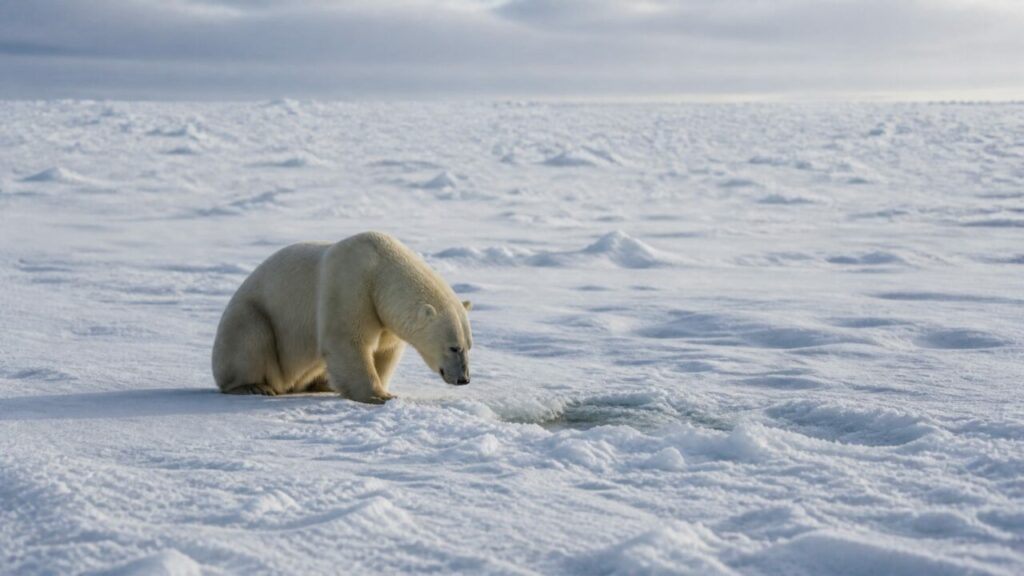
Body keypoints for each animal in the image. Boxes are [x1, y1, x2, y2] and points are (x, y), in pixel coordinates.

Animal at [211, 231, 472, 403]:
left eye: (469, 346)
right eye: (453, 347)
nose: (464, 379)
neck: (380, 269)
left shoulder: (384, 318)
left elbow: (385, 351)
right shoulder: (350, 286)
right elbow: (348, 341)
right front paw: (378, 395)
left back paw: (321, 384)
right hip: (248, 316)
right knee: (251, 335)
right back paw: (254, 386)